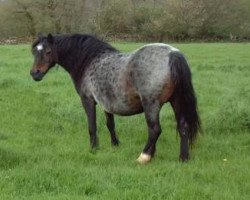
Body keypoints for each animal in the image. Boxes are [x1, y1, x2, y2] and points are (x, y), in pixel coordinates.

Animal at [30, 33, 200, 163]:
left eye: (48, 52)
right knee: (183, 126)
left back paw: (144, 157)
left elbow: (92, 126)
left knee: (154, 130)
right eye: (35, 52)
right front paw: (115, 144)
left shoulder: (88, 100)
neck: (88, 61)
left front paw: (94, 148)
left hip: (151, 104)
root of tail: (173, 54)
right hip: (176, 101)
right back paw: (183, 158)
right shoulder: (107, 103)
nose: (35, 74)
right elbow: (110, 124)